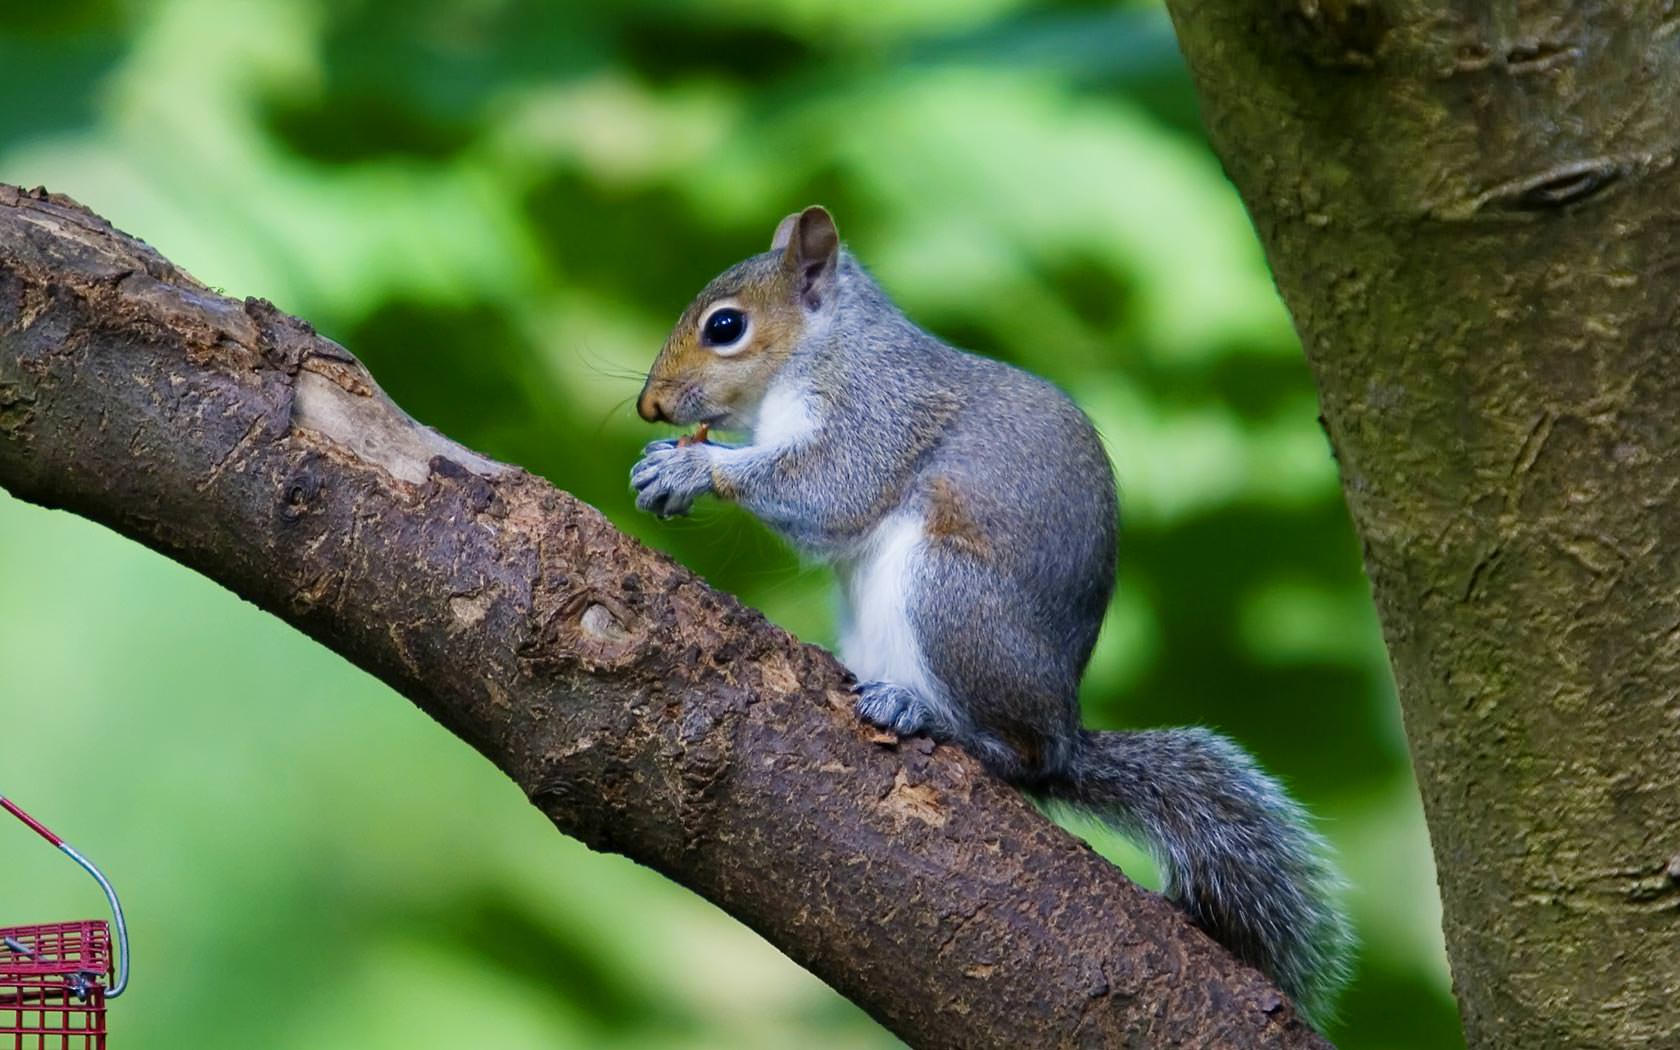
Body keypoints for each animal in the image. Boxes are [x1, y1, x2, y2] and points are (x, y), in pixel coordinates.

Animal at [630, 206, 1354, 1024]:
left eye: (726, 326)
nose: (649, 406)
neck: (829, 347)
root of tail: (1066, 728)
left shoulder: (880, 412)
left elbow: (833, 490)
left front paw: (691, 466)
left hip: (950, 599)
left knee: (1016, 756)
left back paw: (930, 717)